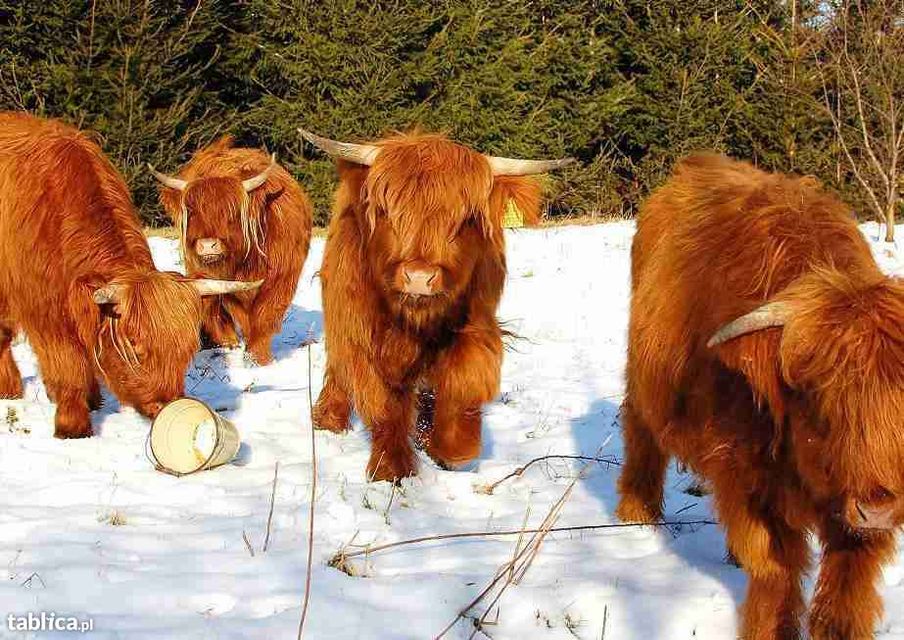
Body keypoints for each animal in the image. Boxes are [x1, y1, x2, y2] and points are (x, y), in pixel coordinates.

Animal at [0, 112, 262, 438]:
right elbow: (69, 366)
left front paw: (93, 400)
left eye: (187, 349)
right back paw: (10, 389)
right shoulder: (46, 312)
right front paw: (73, 425)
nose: (165, 405)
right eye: (135, 344)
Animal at [150, 136, 312, 364]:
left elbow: (265, 316)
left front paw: (259, 359)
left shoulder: (282, 277)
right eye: (191, 211)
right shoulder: (221, 280)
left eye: (231, 212)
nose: (207, 245)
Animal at [302, 127, 572, 482]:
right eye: (387, 212)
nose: (419, 277)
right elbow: (383, 399)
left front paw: (450, 448)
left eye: (466, 219)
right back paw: (329, 417)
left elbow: (463, 379)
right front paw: (391, 467)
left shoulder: (476, 323)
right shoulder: (359, 329)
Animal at [616, 151, 904, 640]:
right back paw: (635, 516)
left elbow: (847, 585)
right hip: (642, 380)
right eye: (818, 397)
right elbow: (776, 569)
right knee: (641, 435)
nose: (878, 507)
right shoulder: (747, 477)